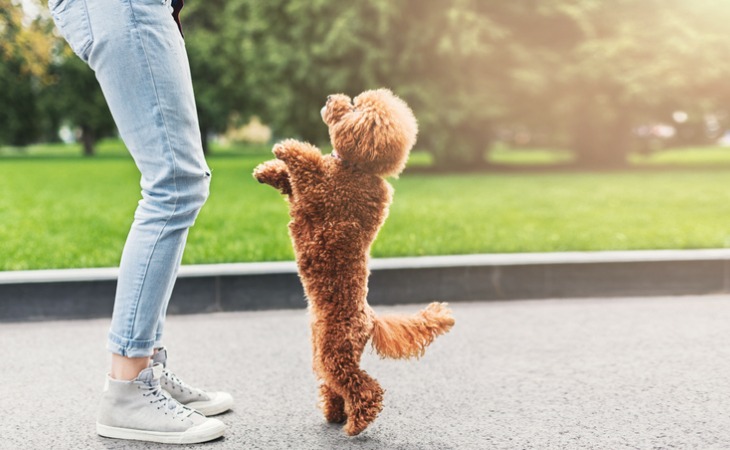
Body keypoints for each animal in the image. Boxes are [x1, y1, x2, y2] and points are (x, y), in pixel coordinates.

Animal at [253, 89, 452, 436]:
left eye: (354, 107)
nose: (331, 97)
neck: (358, 168)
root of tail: (370, 319)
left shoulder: (323, 193)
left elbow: (308, 164)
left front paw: (287, 147)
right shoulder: (307, 197)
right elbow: (290, 181)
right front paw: (267, 170)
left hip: (336, 353)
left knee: (364, 388)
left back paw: (357, 422)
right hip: (323, 354)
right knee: (335, 385)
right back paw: (335, 413)